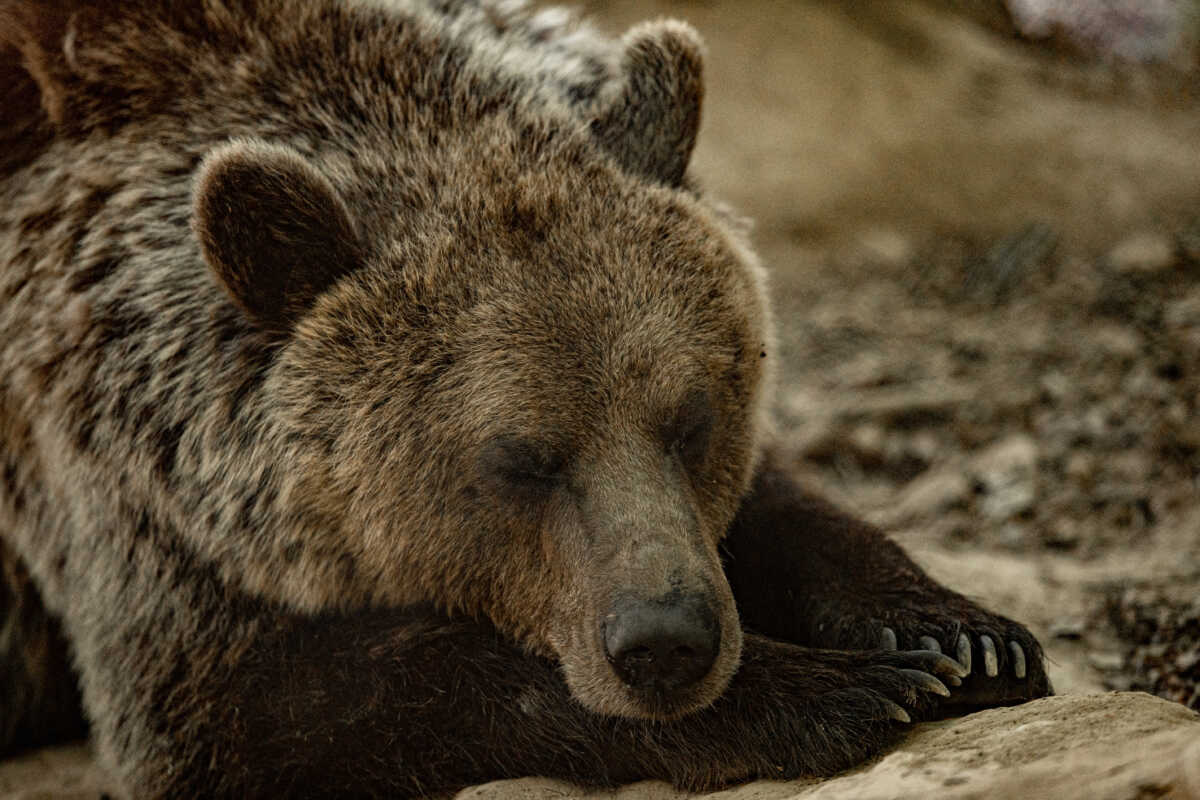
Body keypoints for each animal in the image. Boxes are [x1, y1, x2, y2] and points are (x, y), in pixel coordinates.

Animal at [0, 0, 1046, 796]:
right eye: (518, 460)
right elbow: (268, 709)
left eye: (692, 420)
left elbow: (786, 506)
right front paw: (844, 688)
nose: (666, 642)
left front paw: (959, 636)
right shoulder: (121, 495)